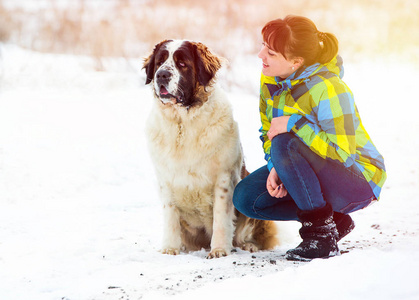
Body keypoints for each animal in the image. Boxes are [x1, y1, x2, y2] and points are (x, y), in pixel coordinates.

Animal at [144, 39, 278, 258]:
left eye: (182, 64)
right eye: (159, 63)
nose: (162, 75)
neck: (183, 123)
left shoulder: (224, 179)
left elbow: (221, 219)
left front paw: (219, 250)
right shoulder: (165, 179)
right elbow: (171, 216)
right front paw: (170, 249)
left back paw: (248, 245)